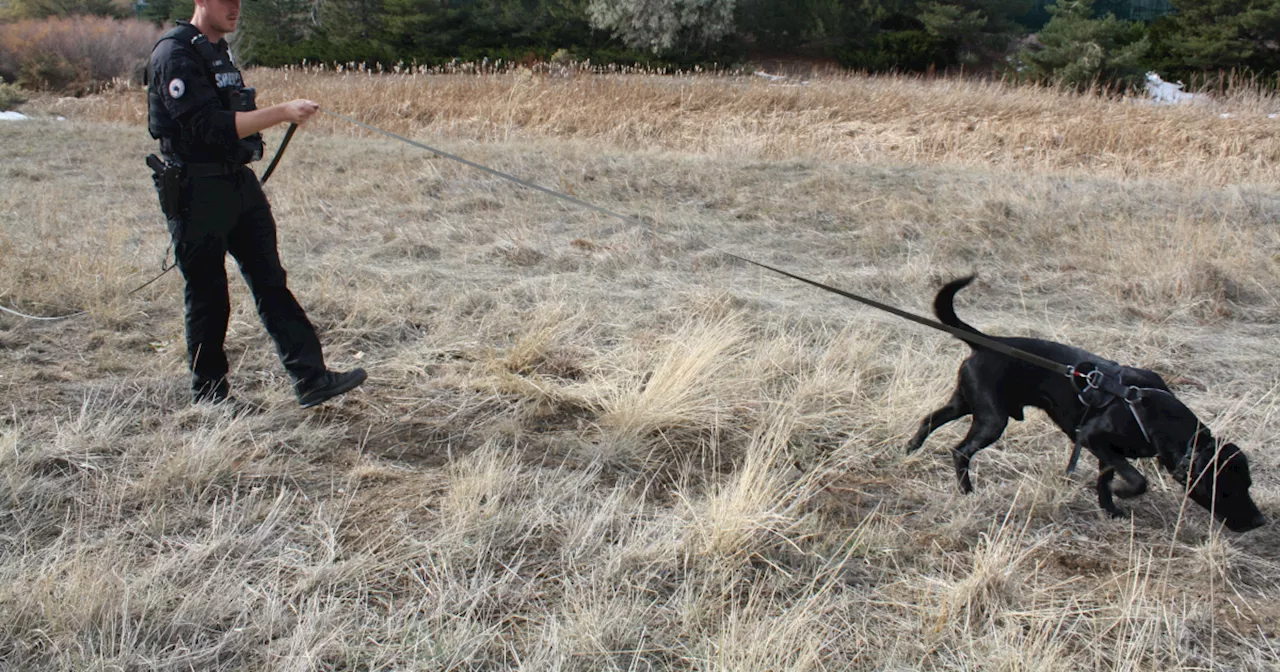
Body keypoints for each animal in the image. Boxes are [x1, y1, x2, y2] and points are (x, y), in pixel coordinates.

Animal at [906, 275, 1264, 532]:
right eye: (1229, 487)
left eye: (1248, 484)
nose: (1260, 521)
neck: (1157, 417)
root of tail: (990, 343)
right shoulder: (1093, 437)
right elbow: (1136, 480)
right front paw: (1122, 493)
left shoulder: (1106, 450)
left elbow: (1105, 479)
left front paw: (1110, 508)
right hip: (992, 419)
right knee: (960, 451)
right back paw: (967, 491)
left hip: (966, 403)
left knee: (928, 419)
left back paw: (910, 448)